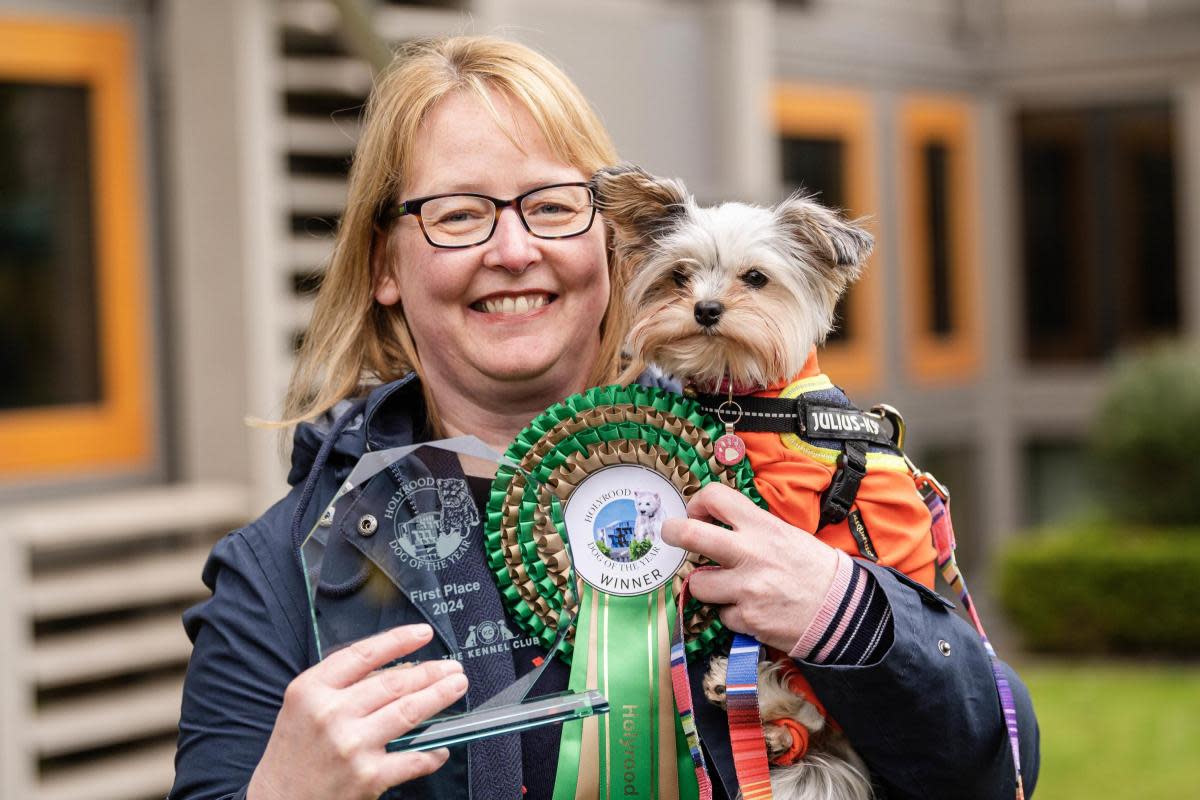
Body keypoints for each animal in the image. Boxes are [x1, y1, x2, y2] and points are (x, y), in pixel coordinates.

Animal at [592, 164, 883, 800]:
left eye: (755, 278)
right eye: (679, 275)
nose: (704, 308)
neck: (743, 398)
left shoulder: (786, 511)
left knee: (811, 710)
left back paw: (747, 694)